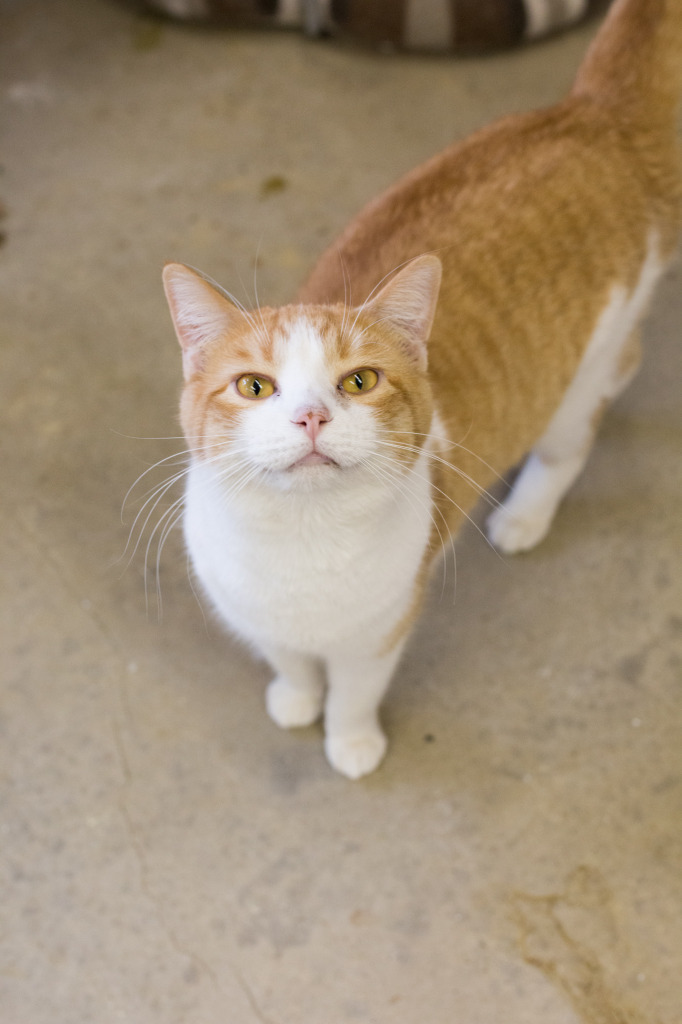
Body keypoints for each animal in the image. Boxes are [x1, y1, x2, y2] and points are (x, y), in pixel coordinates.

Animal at [163, 0, 679, 778]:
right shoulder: (256, 617)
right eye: (254, 386)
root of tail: (589, 114)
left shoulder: (381, 630)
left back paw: (524, 516)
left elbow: (352, 691)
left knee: (580, 426)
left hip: (582, 371)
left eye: (359, 380)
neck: (300, 545)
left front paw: (350, 743)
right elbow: (289, 663)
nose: (310, 417)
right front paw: (295, 698)